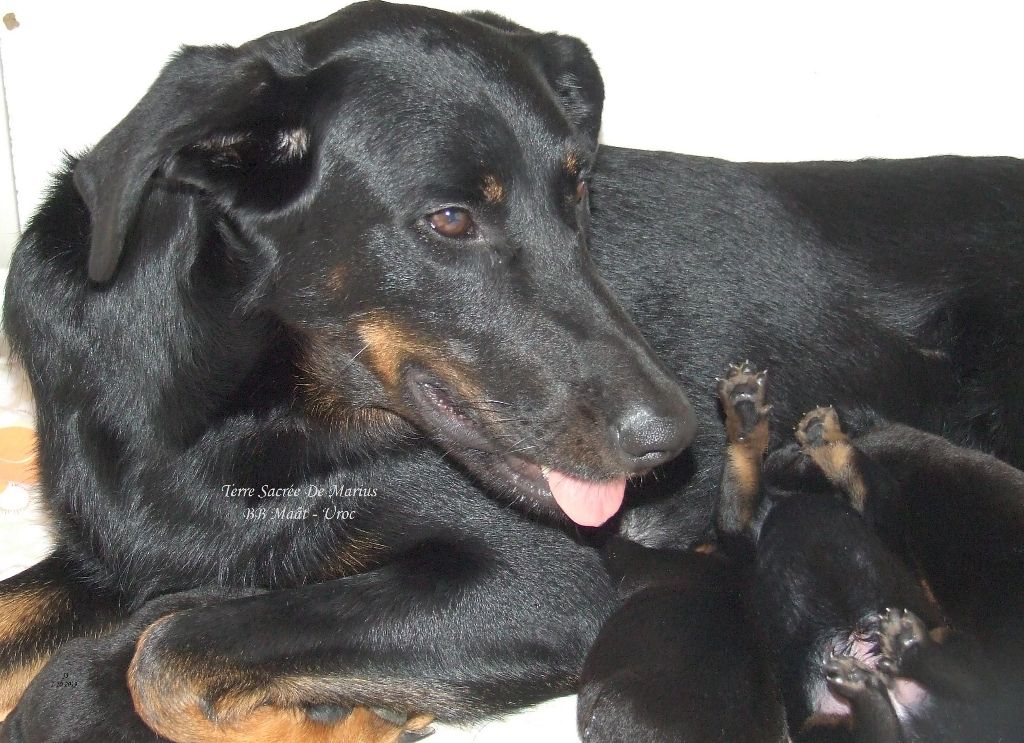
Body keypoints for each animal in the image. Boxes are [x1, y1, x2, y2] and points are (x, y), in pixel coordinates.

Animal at [2, 2, 1024, 740]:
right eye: (451, 219)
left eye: (579, 191)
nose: (675, 440)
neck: (206, 400)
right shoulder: (114, 553)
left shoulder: (544, 582)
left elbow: (165, 651)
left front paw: (342, 715)